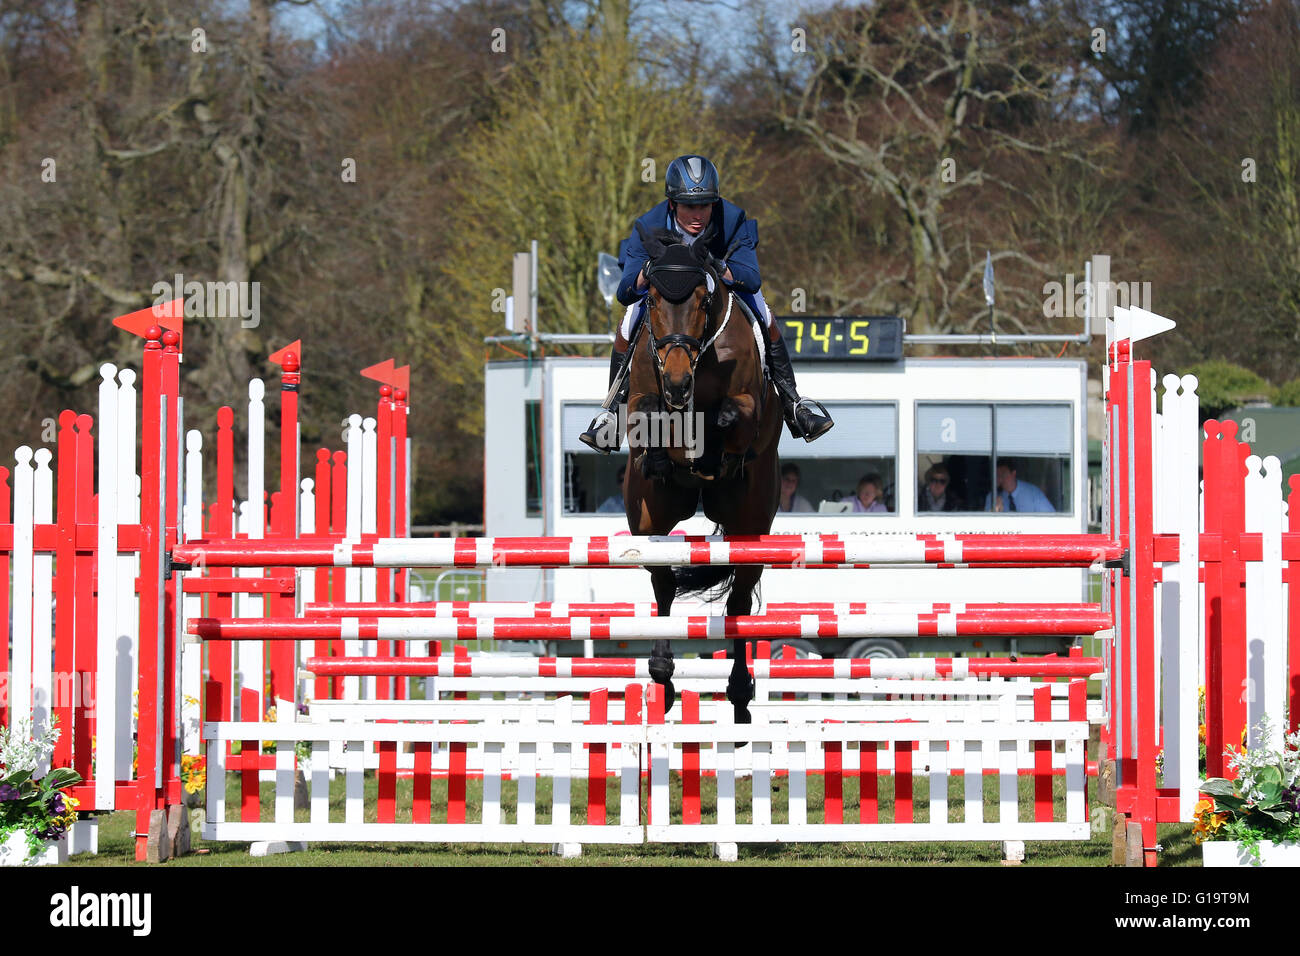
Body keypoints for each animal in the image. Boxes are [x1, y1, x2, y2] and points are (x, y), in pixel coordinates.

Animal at [618, 221, 780, 723]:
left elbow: (729, 415)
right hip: (650, 516)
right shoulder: (643, 399)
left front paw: (711, 453)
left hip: (750, 525)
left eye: (703, 300)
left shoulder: (746, 405)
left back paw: (741, 695)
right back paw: (663, 675)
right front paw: (665, 449)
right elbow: (649, 410)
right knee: (664, 584)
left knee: (739, 601)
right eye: (650, 299)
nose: (677, 382)